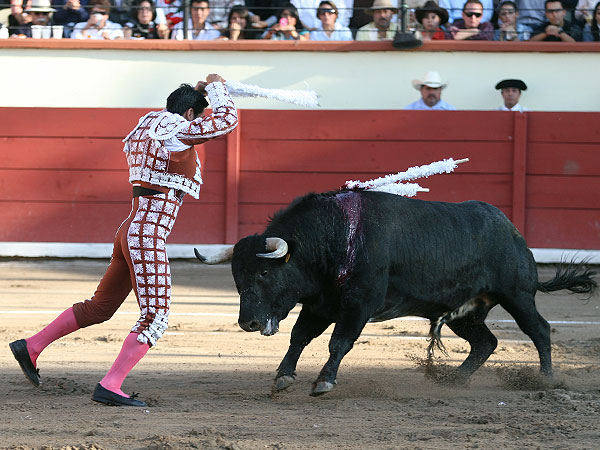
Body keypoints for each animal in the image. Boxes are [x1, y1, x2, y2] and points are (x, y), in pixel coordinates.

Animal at [195, 192, 596, 396]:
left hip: (517, 294)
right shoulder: (320, 305)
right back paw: (454, 380)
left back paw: (546, 380)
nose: (247, 322)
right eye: (236, 276)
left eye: (264, 272)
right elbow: (299, 337)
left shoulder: (359, 304)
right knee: (486, 342)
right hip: (466, 312)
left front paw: (324, 381)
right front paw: (283, 377)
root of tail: (513, 232)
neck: (337, 235)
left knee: (539, 330)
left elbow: (339, 342)